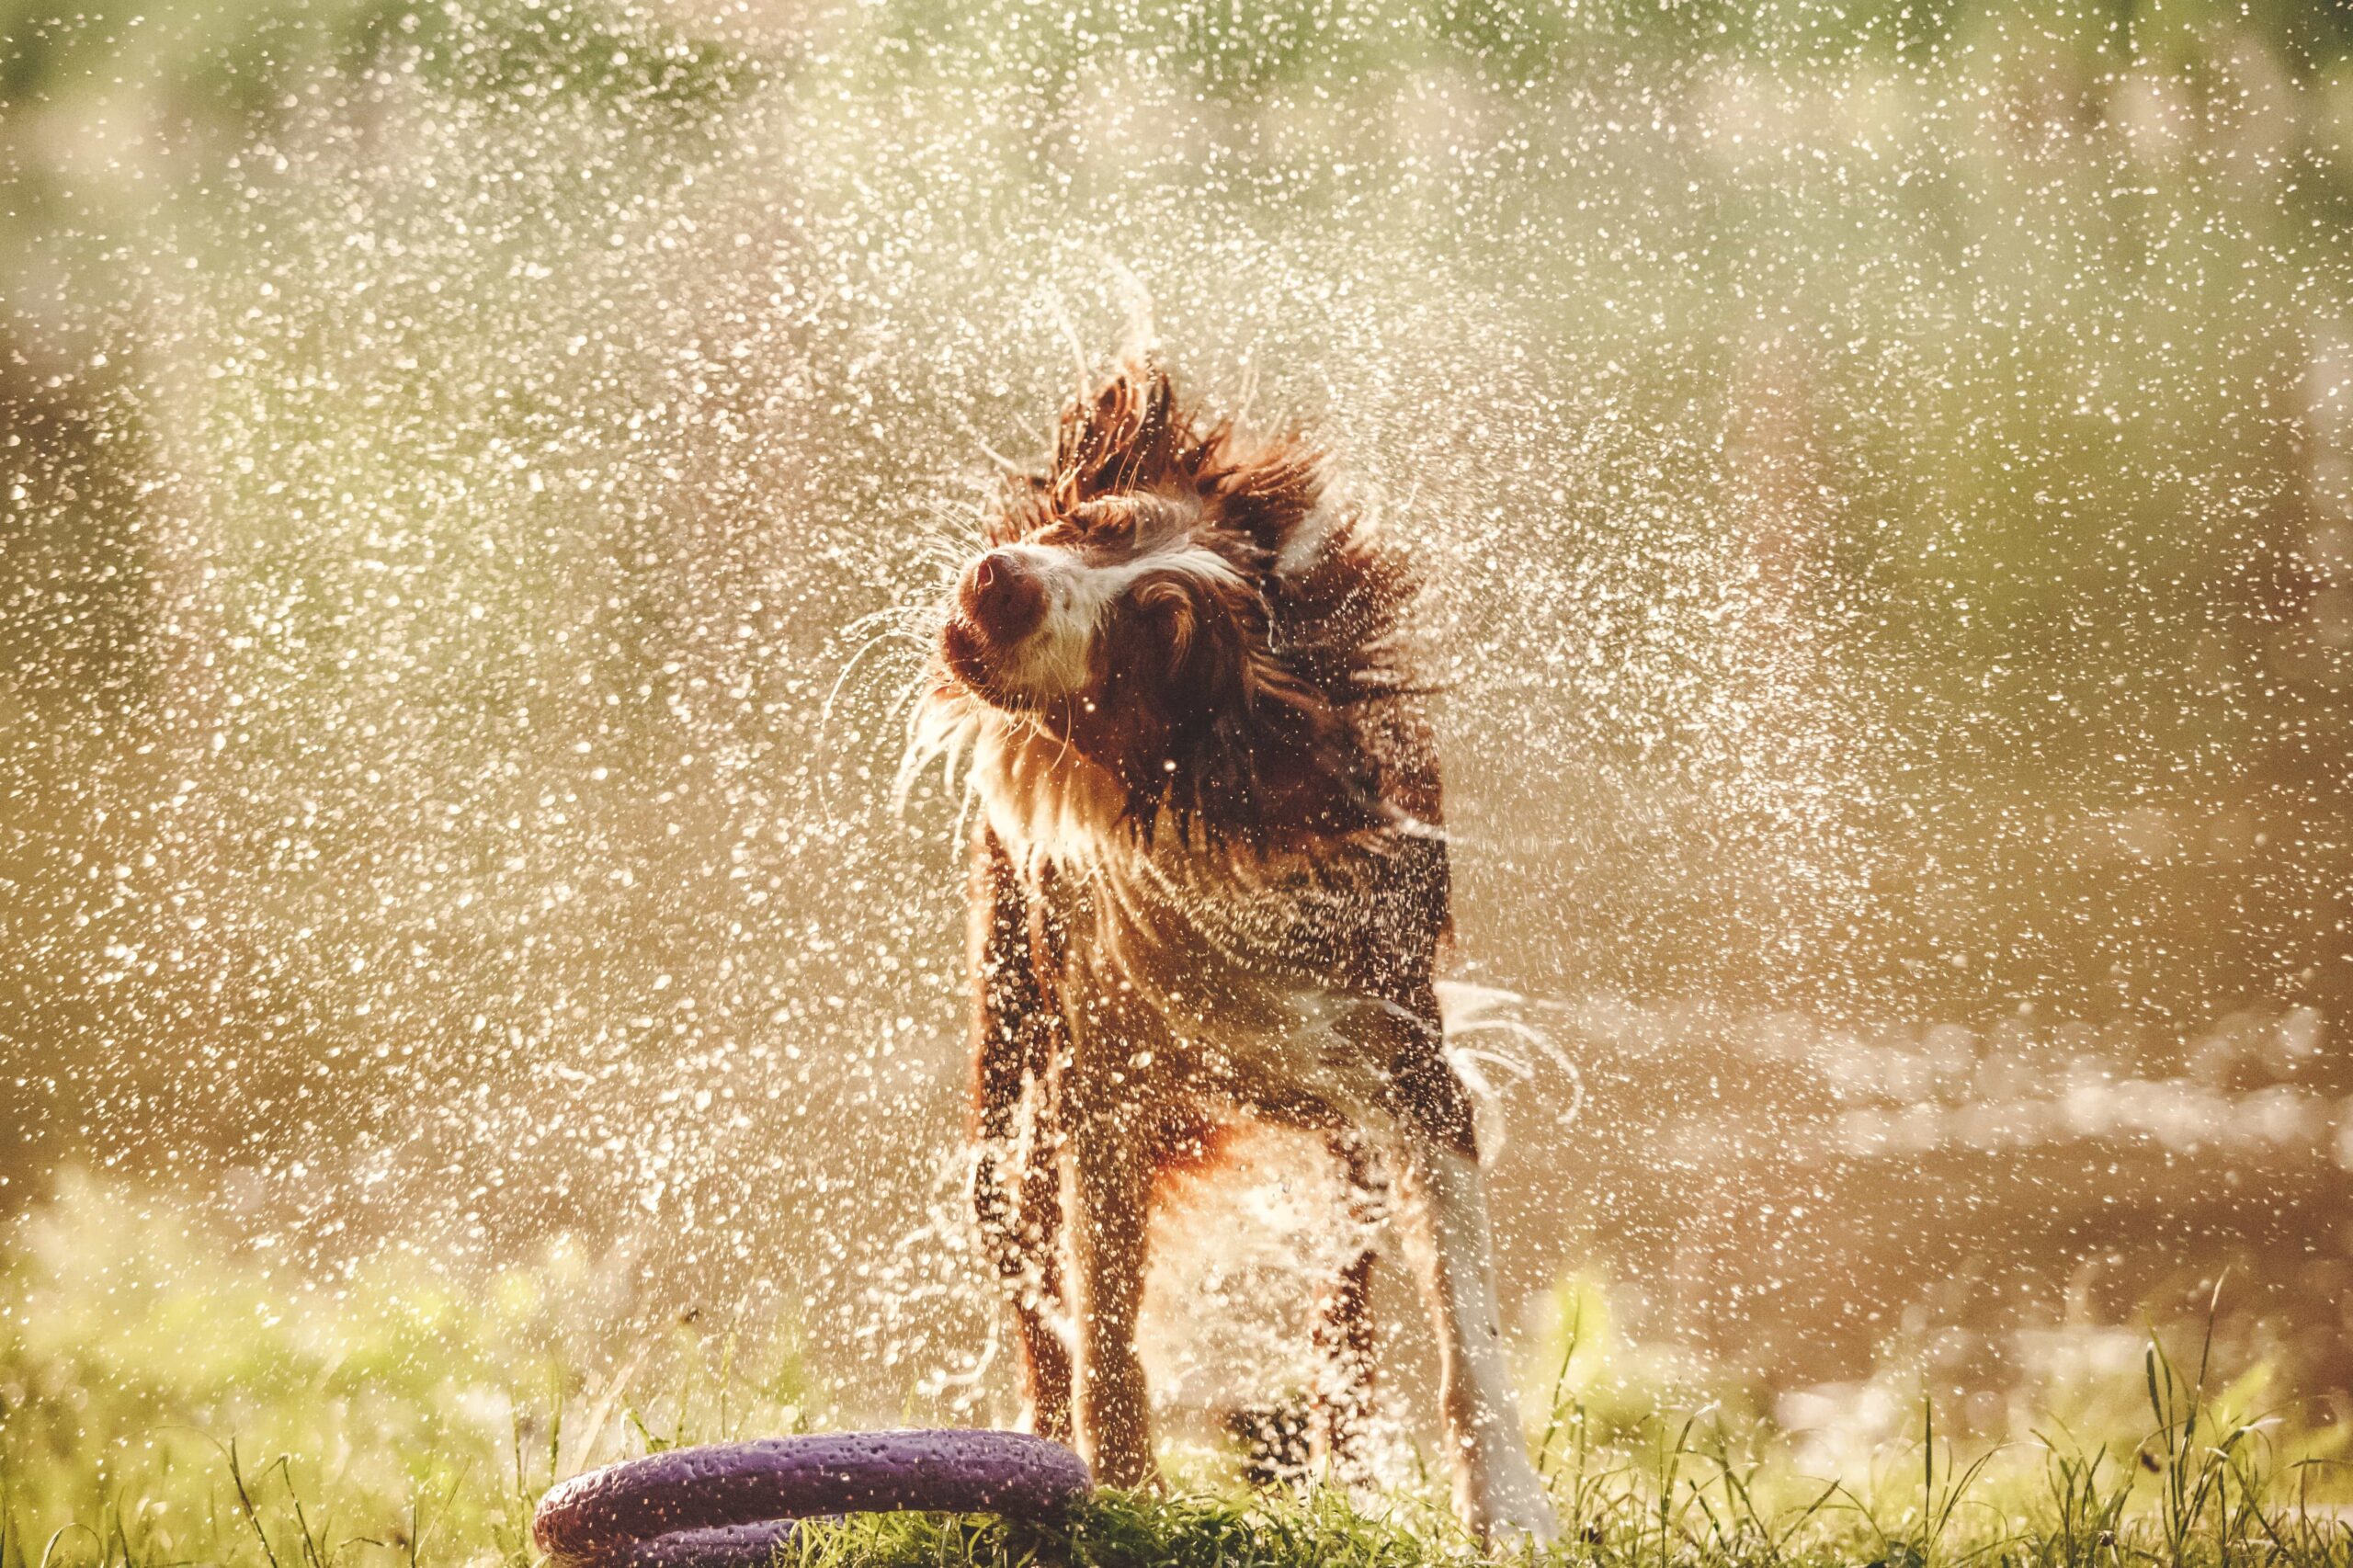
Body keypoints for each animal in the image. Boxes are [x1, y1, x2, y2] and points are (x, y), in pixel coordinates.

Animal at [904, 358, 1562, 1535]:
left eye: (1156, 634)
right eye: (1091, 523)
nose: (1000, 579)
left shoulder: (1409, 1065)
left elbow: (1464, 1318)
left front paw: (1508, 1505)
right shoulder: (1100, 1085)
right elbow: (1105, 1329)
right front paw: (1120, 1488)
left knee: (1341, 1305)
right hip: (1009, 1039)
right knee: (1022, 1248)